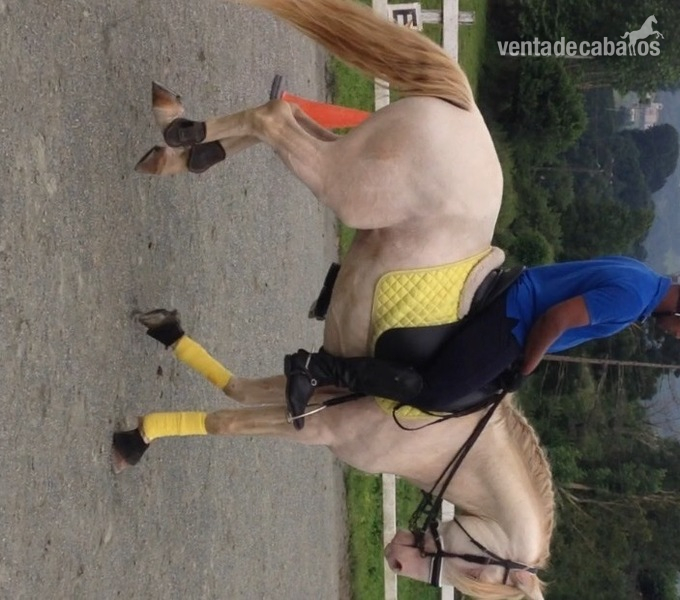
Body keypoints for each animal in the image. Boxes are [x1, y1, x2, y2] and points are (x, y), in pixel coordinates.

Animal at [115, 0, 555, 597]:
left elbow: (234, 391)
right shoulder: (319, 425)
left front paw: (166, 335)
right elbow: (223, 422)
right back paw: (186, 134)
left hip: (346, 153)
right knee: (276, 117)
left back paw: (184, 143)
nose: (397, 560)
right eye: (476, 570)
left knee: (285, 120)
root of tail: (466, 110)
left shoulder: (314, 384)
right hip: (346, 182)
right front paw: (136, 438)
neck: (445, 438)